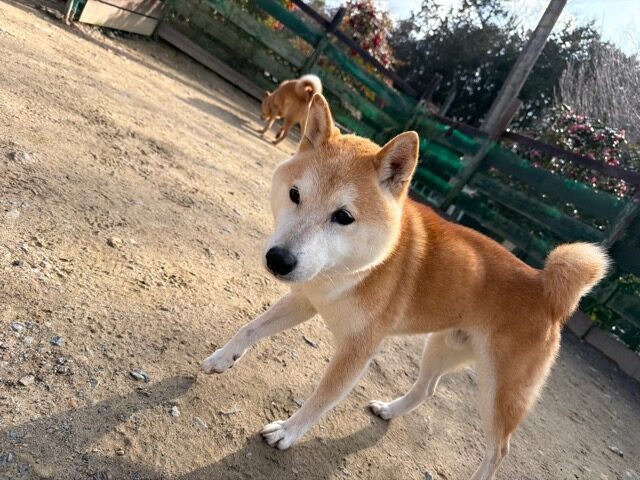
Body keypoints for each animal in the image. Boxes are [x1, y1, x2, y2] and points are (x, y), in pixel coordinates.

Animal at [203, 94, 609, 480]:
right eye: (294, 194)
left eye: (343, 217)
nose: (279, 260)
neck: (352, 271)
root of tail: (546, 289)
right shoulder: (306, 299)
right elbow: (250, 328)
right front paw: (223, 357)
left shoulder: (358, 350)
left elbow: (322, 398)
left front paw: (288, 432)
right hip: (442, 347)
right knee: (426, 389)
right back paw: (389, 409)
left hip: (500, 393)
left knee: (499, 451)